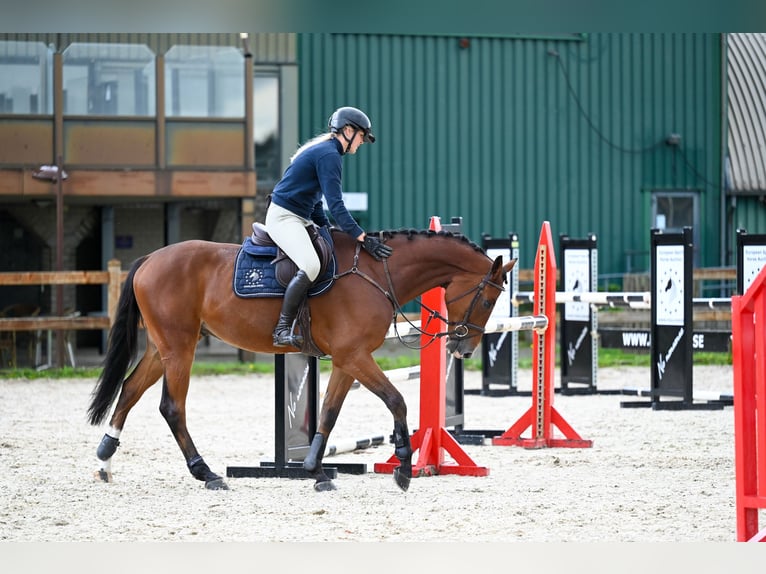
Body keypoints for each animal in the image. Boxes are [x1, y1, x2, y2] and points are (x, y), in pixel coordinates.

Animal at [85, 230, 516, 496]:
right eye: (488, 299)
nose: (464, 349)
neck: (377, 273)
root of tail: (151, 258)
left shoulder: (346, 360)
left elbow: (328, 413)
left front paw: (316, 471)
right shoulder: (356, 356)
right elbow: (397, 401)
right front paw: (404, 470)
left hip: (164, 348)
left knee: (130, 390)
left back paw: (105, 460)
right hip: (180, 348)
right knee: (172, 407)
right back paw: (205, 472)